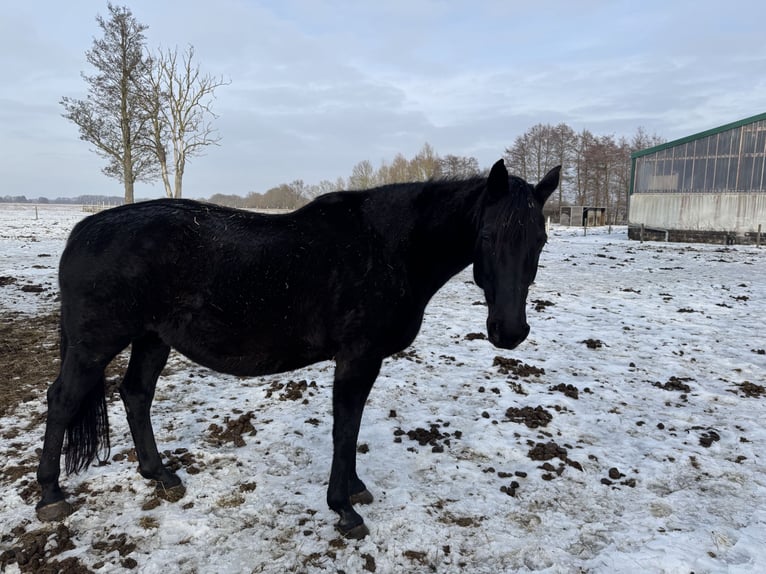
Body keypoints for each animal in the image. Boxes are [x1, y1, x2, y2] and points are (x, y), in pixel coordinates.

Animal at [36, 159, 560, 539]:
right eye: (488, 236)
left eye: (540, 238)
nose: (509, 331)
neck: (386, 248)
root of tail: (83, 232)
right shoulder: (356, 358)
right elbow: (345, 428)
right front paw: (344, 509)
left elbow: (351, 427)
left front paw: (355, 489)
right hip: (94, 346)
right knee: (62, 401)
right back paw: (51, 496)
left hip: (152, 339)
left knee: (136, 395)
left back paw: (159, 474)